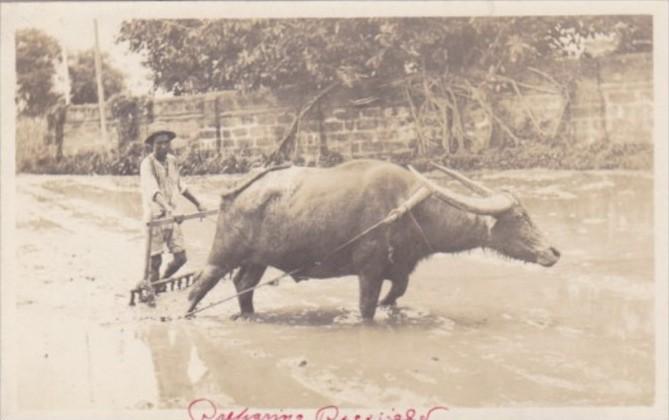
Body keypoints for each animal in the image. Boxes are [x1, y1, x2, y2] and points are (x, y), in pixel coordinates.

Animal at [187, 159, 560, 320]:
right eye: (519, 217)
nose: (553, 252)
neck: (407, 208)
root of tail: (235, 192)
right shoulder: (369, 270)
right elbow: (366, 307)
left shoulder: (400, 269)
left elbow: (397, 293)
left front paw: (389, 307)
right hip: (222, 255)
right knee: (199, 286)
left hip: (258, 260)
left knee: (244, 285)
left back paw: (250, 316)